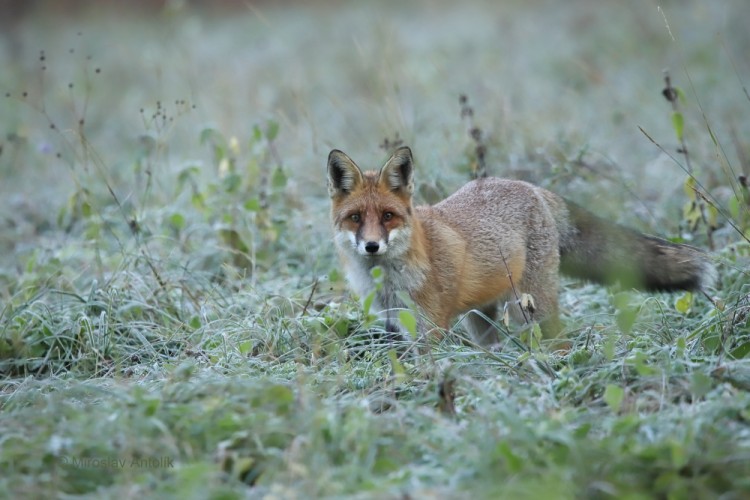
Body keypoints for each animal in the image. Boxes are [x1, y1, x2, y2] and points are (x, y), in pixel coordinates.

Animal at [328, 146, 716, 346]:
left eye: (388, 216)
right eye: (356, 218)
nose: (372, 247)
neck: (386, 280)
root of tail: (530, 186)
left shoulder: (429, 326)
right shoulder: (392, 323)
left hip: (530, 307)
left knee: (558, 339)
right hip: (481, 319)